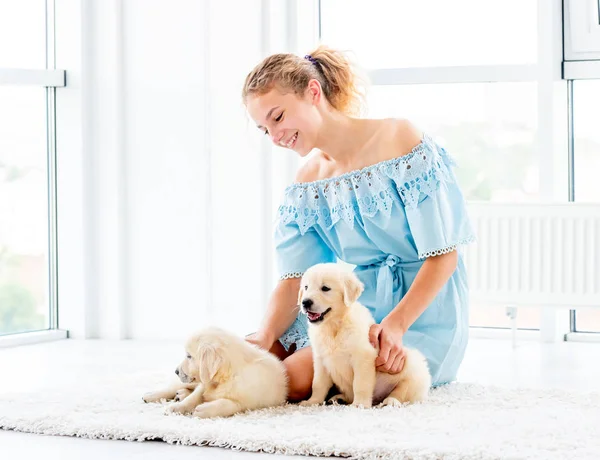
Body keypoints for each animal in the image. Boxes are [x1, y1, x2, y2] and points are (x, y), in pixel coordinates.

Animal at [143, 328, 288, 416]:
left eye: (189, 356)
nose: (176, 371)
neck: (227, 376)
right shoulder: (203, 384)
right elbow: (193, 398)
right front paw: (176, 407)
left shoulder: (245, 400)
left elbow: (227, 404)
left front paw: (203, 409)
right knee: (172, 387)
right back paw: (152, 395)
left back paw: (181, 394)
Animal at [298, 264, 432, 408]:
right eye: (306, 287)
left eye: (325, 288)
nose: (305, 302)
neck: (333, 327)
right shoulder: (320, 360)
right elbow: (318, 384)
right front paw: (312, 402)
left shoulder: (363, 357)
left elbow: (360, 384)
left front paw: (360, 404)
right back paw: (339, 399)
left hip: (413, 367)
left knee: (402, 390)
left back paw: (391, 401)